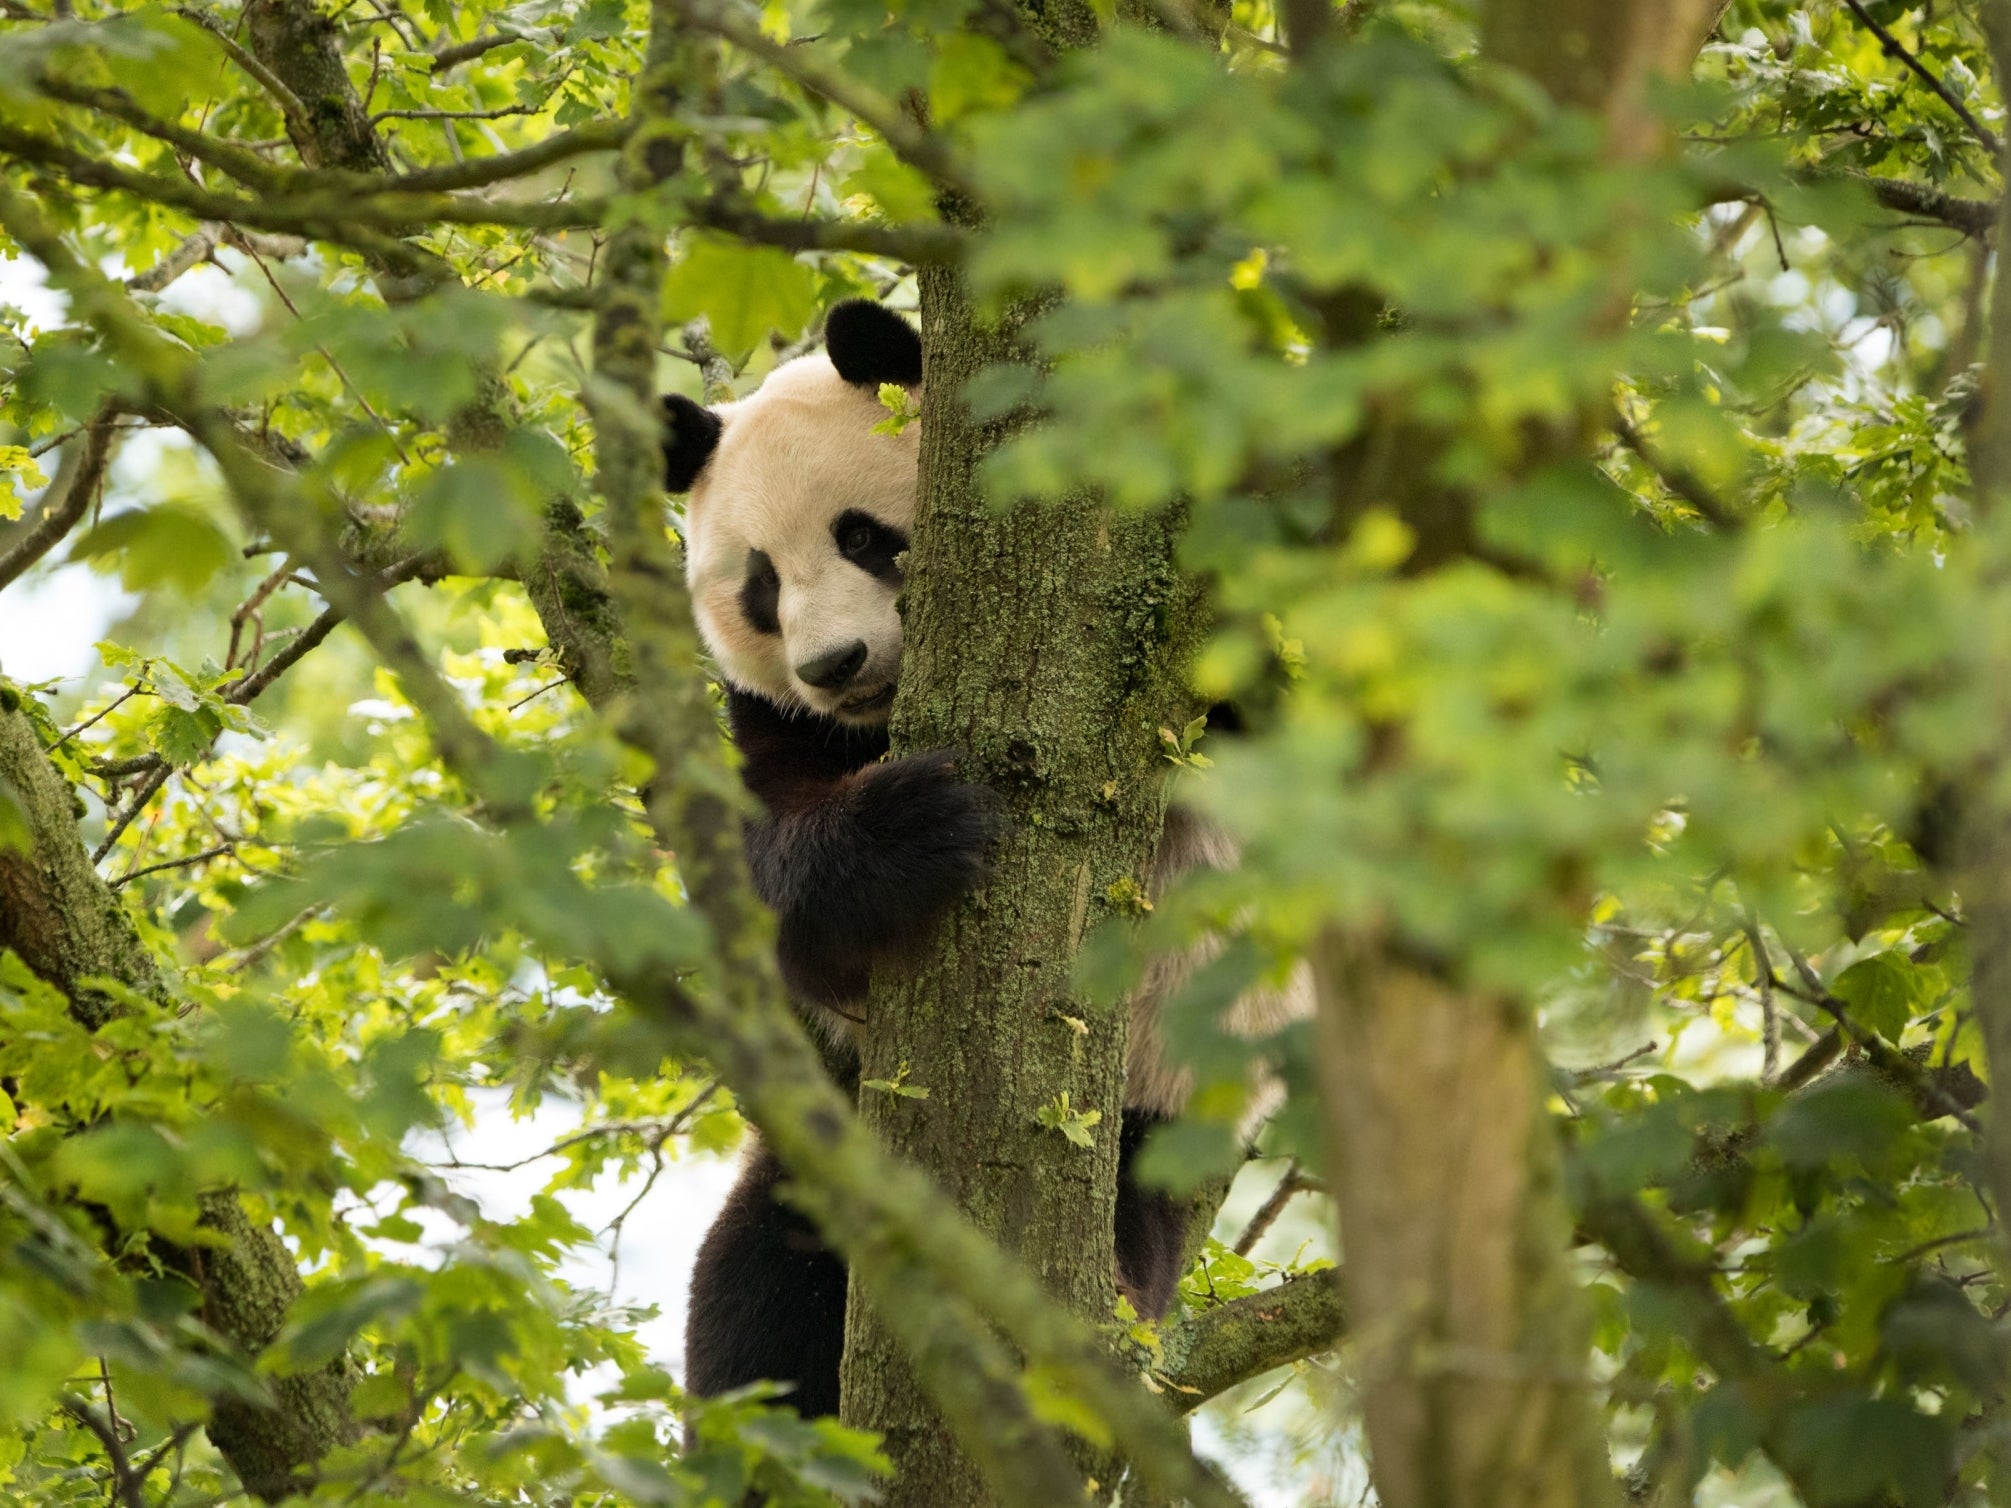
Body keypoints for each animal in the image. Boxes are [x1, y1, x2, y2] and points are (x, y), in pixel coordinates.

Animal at [663, 301, 1303, 1423]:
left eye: (861, 536)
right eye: (759, 584)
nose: (834, 664)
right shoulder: (774, 721)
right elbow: (762, 877)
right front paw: (916, 826)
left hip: (1164, 1082)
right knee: (757, 1299)